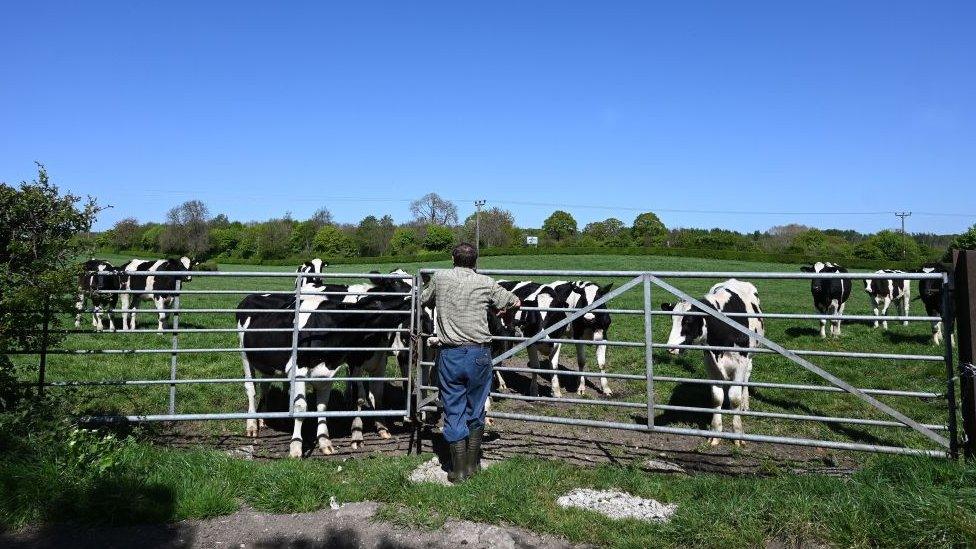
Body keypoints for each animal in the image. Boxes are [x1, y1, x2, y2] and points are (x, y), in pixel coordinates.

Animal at [241, 272, 416, 456]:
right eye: (394, 283)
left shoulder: (376, 359)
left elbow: (375, 394)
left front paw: (381, 426)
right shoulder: (349, 362)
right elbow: (357, 398)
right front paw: (356, 435)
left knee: (267, 384)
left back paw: (265, 418)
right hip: (245, 355)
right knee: (251, 388)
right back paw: (252, 425)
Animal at [660, 278, 768, 446]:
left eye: (689, 320)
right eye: (672, 319)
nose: (671, 348)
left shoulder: (741, 363)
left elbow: (735, 398)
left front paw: (738, 434)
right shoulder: (710, 362)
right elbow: (717, 397)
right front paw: (715, 432)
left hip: (750, 356)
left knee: (746, 379)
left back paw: (745, 404)